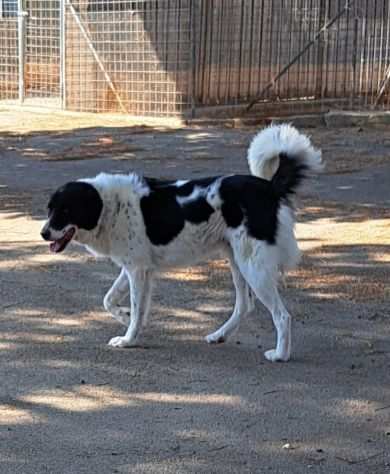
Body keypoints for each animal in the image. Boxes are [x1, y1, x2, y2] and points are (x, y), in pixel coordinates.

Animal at [41, 125, 322, 362]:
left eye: (65, 211)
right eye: (50, 209)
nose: (43, 233)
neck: (110, 206)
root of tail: (269, 187)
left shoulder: (137, 271)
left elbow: (133, 307)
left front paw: (128, 339)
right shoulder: (136, 268)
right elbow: (110, 300)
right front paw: (125, 317)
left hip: (254, 267)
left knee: (282, 316)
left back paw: (280, 355)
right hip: (238, 262)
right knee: (245, 305)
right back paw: (219, 335)